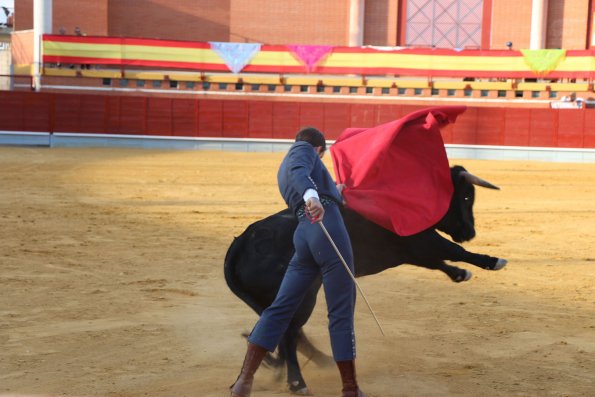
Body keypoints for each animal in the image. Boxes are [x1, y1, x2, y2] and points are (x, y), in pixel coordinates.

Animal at [224, 165, 508, 392]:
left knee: (283, 334)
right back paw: (298, 383)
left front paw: (461, 273)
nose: (470, 232)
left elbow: (440, 261)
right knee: (289, 335)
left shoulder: (413, 249)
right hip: (303, 296)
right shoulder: (423, 241)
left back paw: (320, 363)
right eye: (466, 195)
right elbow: (455, 251)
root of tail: (242, 242)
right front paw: (493, 261)